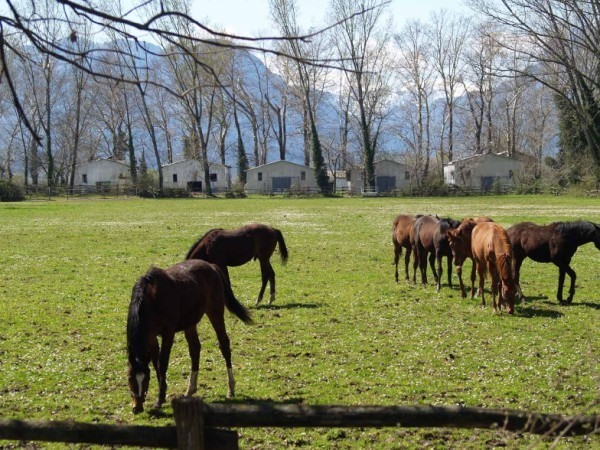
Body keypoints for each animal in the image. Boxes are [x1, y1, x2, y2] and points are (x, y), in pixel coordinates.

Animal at [125, 258, 252, 414]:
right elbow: (156, 363)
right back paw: (190, 389)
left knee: (224, 344)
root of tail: (212, 266)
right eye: (129, 378)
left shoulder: (168, 333)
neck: (152, 299)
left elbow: (162, 363)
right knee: (195, 349)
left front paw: (160, 399)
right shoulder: (151, 336)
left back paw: (231, 388)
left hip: (215, 313)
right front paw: (162, 394)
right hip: (190, 323)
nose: (137, 407)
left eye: (146, 379)